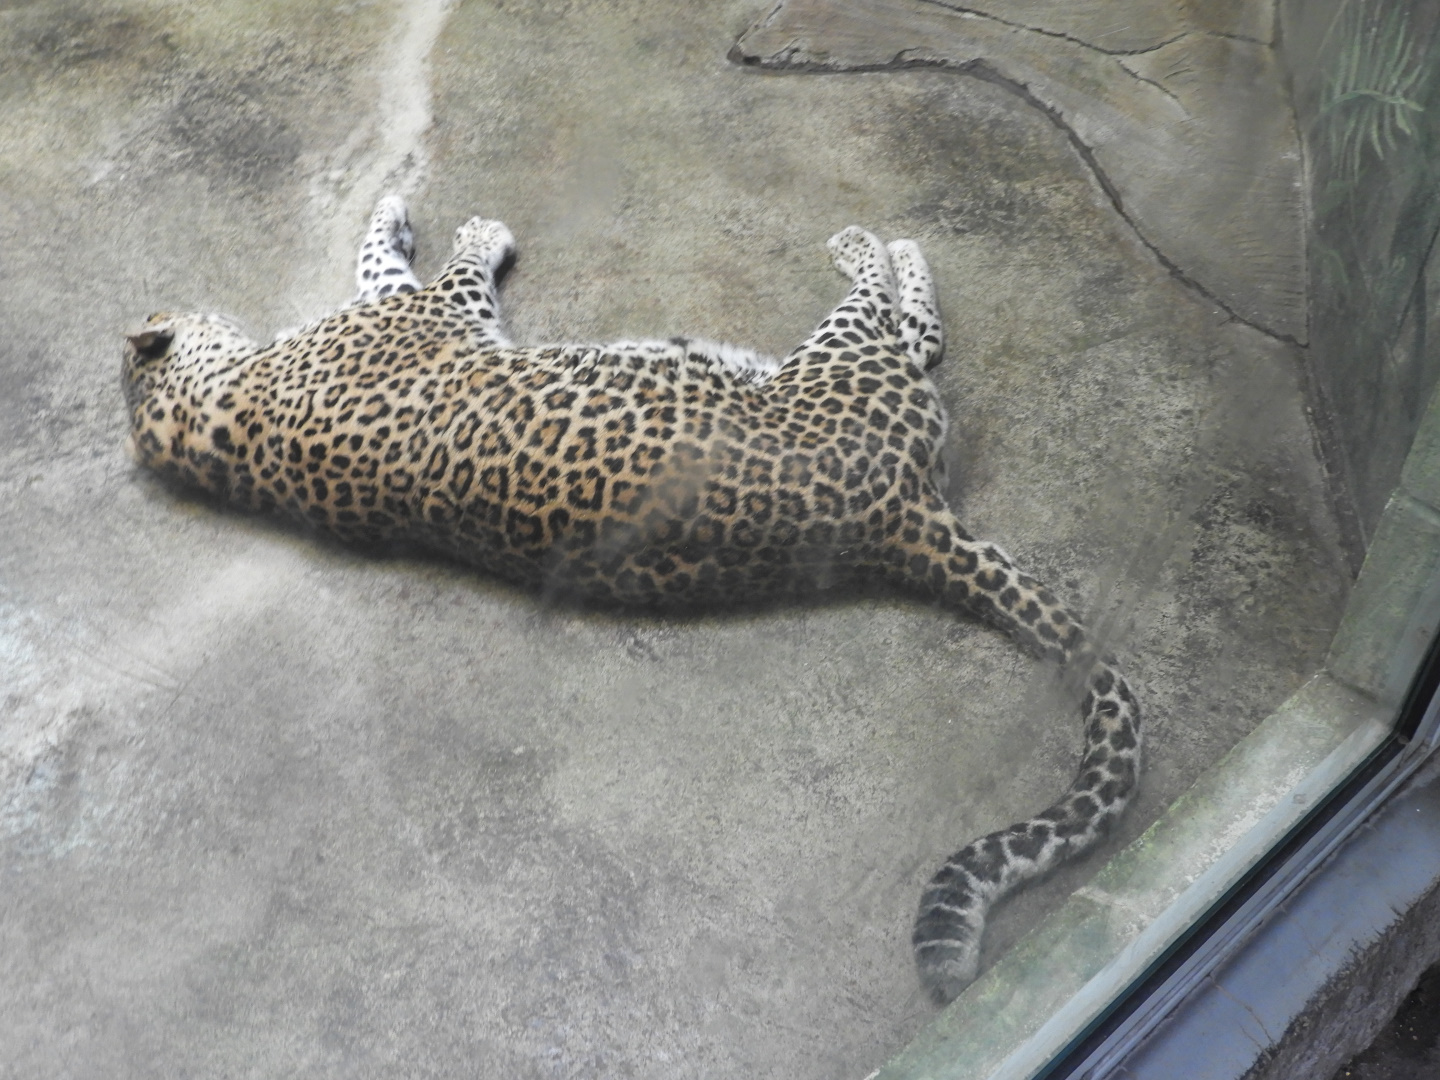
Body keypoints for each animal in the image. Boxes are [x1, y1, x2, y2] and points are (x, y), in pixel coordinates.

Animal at [121, 195, 1140, 1005]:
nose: (156, 306)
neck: (208, 425)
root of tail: (896, 513)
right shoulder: (432, 308)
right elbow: (435, 264)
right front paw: (465, 225)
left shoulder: (401, 308)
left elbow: (380, 255)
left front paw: (397, 206)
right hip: (831, 362)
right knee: (905, 326)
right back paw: (871, 242)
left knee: (919, 339)